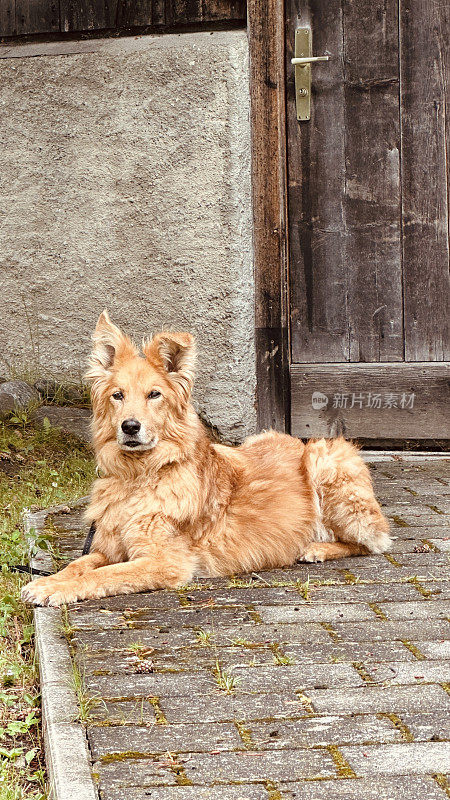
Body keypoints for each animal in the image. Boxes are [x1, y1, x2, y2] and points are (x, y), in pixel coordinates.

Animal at [22, 308, 390, 608]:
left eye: (154, 394)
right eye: (118, 395)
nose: (130, 427)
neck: (140, 476)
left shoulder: (165, 562)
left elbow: (104, 575)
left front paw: (53, 589)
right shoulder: (103, 548)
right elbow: (78, 565)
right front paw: (51, 580)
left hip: (325, 458)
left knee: (373, 541)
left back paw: (316, 548)